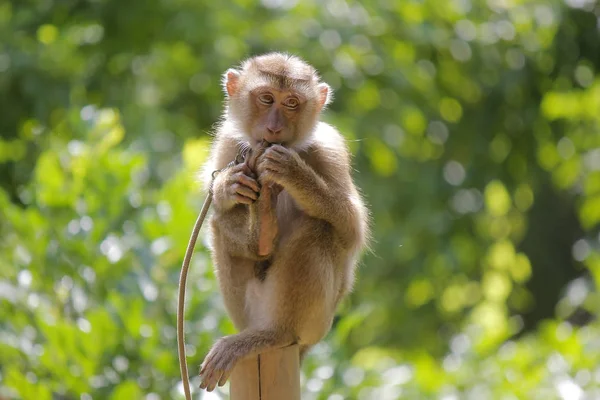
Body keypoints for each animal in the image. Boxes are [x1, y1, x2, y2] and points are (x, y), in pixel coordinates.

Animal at [199, 51, 368, 392]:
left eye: (291, 102)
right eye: (266, 98)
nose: (274, 128)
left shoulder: (330, 150)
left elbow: (352, 228)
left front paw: (292, 172)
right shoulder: (229, 143)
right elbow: (222, 199)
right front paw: (227, 184)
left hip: (316, 323)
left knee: (319, 229)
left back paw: (276, 333)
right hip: (252, 307)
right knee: (220, 224)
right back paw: (263, 229)